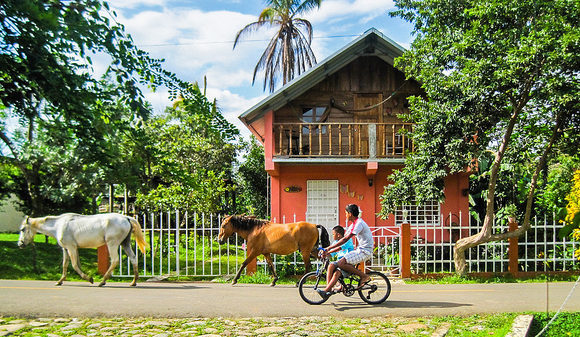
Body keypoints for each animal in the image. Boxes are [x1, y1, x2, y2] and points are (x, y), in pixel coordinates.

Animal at [19, 214, 148, 284]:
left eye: (22, 229)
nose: (20, 244)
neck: (58, 225)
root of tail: (126, 218)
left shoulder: (71, 248)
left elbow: (75, 265)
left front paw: (89, 279)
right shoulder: (67, 249)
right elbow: (66, 264)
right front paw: (60, 281)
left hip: (112, 243)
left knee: (115, 260)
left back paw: (102, 281)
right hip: (124, 243)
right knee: (133, 258)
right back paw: (133, 282)